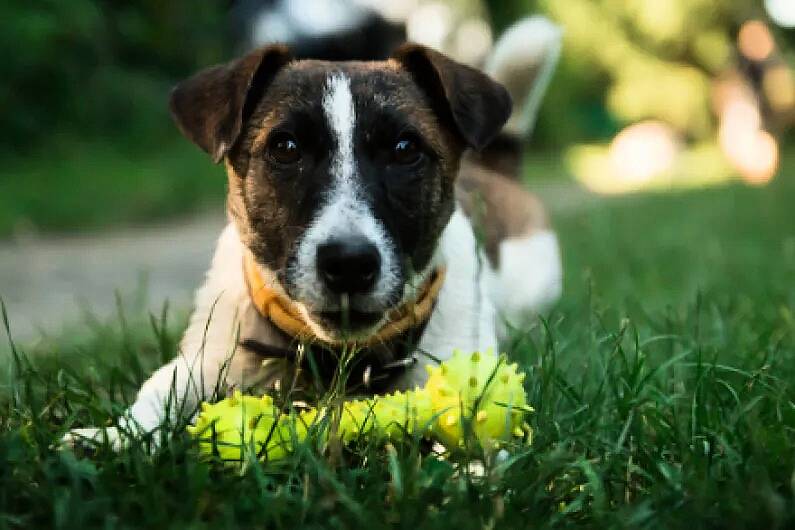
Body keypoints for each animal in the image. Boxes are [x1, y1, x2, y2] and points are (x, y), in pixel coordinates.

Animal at [65, 16, 564, 446]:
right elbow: (155, 394)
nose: (349, 263)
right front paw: (113, 437)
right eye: (286, 147)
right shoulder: (201, 362)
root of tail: (495, 166)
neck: (334, 355)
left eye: (405, 149)